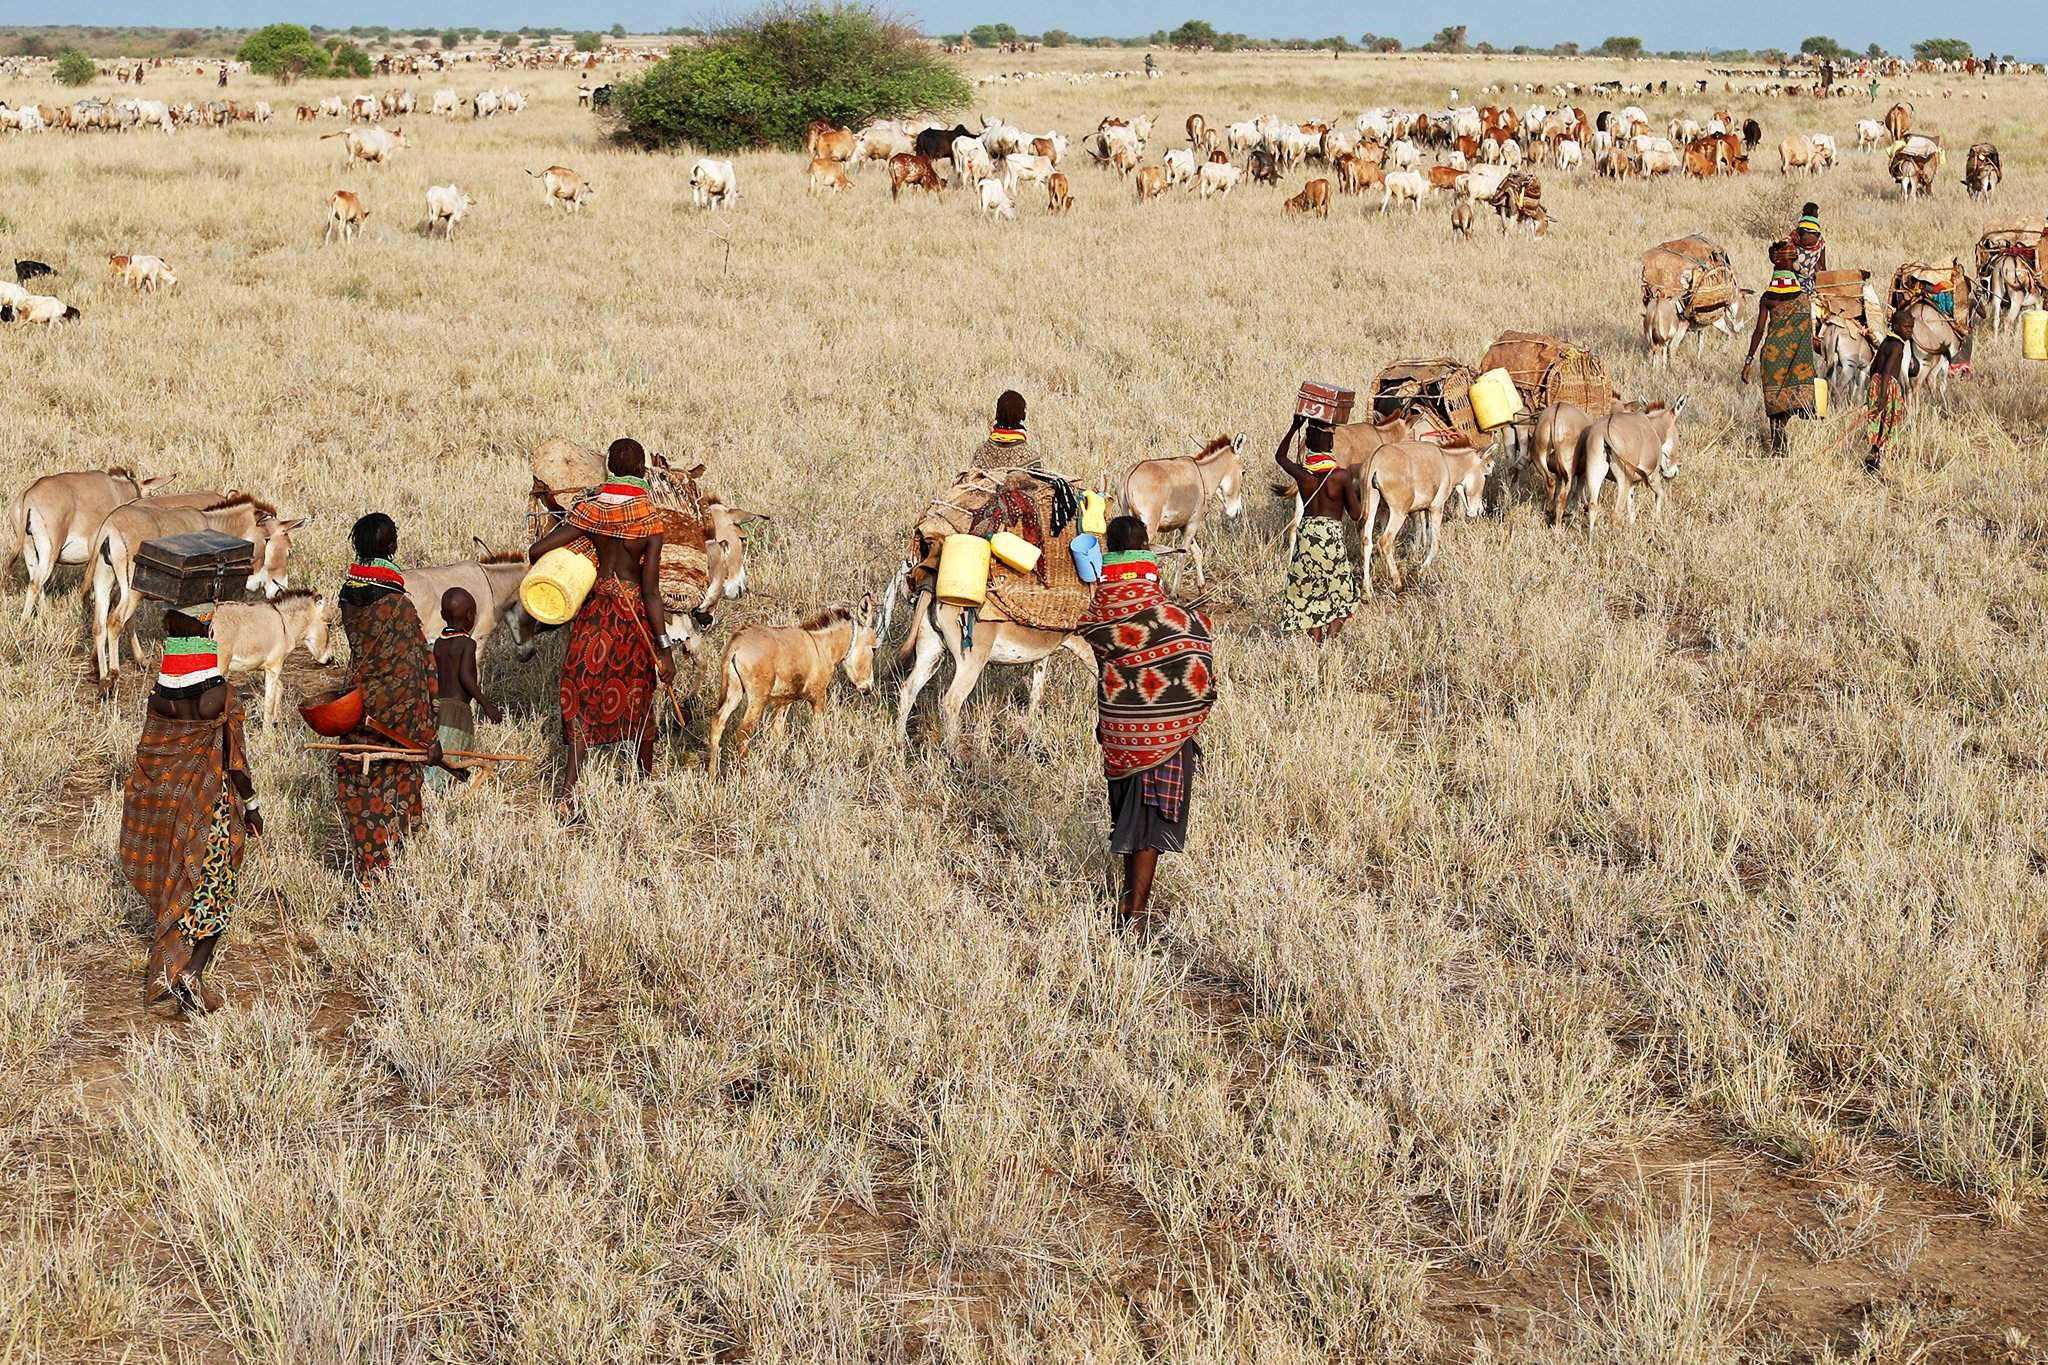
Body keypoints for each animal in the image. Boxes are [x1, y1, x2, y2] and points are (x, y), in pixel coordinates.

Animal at [211, 593, 335, 732]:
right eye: (329, 625)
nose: (330, 659)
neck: (284, 623)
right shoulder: (274, 667)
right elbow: (269, 703)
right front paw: (267, 732)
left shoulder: (265, 668)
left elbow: (279, 687)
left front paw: (275, 722)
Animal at [708, 601, 876, 777]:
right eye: (874, 648)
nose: (869, 688)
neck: (823, 646)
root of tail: (737, 643)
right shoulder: (819, 698)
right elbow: (819, 731)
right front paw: (821, 761)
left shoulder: (784, 702)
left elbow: (776, 736)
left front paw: (774, 765)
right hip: (757, 699)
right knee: (743, 732)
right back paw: (745, 775)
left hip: (734, 693)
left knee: (717, 723)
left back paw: (712, 776)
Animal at [1122, 437, 1245, 589]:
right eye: (1243, 472)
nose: (1236, 512)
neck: (1202, 475)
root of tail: (1130, 475)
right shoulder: (1193, 523)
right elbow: (1182, 556)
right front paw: (1175, 592)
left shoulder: (1183, 525)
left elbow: (1197, 553)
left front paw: (1201, 586)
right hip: (1148, 528)